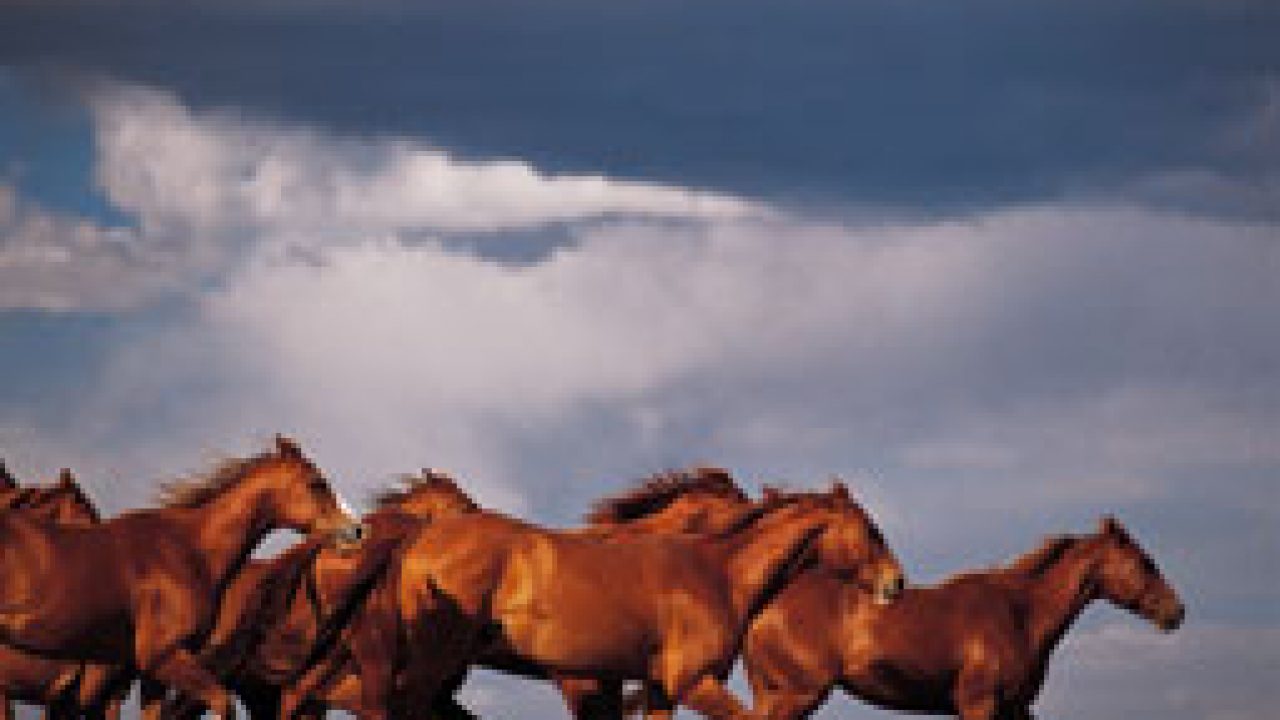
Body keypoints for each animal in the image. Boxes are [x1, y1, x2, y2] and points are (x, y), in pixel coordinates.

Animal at [0, 435, 360, 720]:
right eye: (317, 483)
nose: (355, 529)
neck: (189, 549)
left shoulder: (152, 674)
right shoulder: (163, 657)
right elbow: (223, 703)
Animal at [373, 479, 903, 720]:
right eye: (872, 530)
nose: (896, 583)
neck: (715, 574)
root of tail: (419, 540)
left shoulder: (658, 686)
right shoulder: (690, 682)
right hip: (437, 656)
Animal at [742, 516, 1186, 720]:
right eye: (1145, 563)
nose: (1176, 611)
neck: (1018, 615)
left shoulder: (1014, 709)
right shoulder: (979, 704)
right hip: (797, 695)